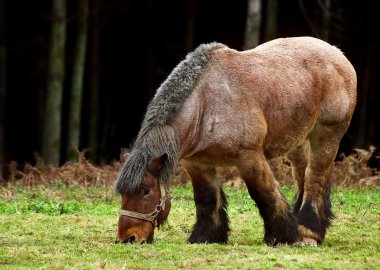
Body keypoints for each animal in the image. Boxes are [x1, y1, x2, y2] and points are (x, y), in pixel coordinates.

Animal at [113, 37, 356, 246]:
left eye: (146, 191)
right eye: (122, 193)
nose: (128, 238)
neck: (205, 105)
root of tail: (337, 53)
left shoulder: (249, 157)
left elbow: (265, 194)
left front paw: (282, 236)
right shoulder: (198, 164)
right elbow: (206, 199)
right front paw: (206, 236)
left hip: (326, 135)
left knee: (316, 177)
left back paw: (308, 232)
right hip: (297, 142)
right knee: (303, 176)